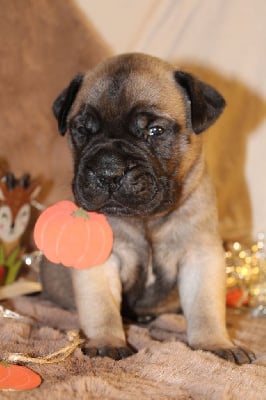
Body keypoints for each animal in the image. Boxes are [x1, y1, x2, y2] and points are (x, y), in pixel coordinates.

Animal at [40, 52, 255, 362]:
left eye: (155, 131)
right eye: (81, 130)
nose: (108, 170)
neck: (147, 220)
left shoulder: (200, 256)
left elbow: (206, 308)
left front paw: (216, 344)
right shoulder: (101, 261)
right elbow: (100, 306)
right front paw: (107, 341)